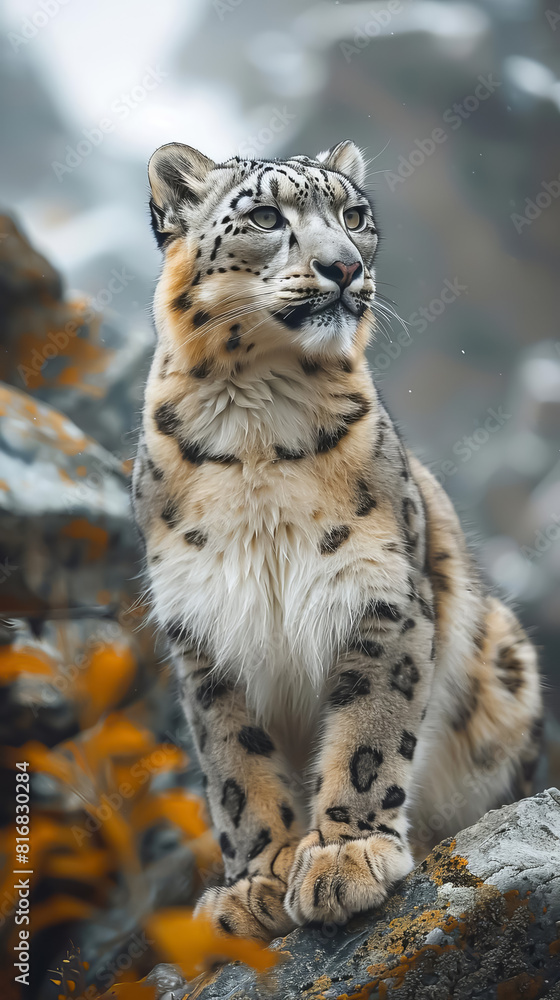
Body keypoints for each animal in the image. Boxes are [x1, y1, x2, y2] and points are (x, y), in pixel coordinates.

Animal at [132, 138, 543, 941]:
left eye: (353, 216)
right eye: (265, 216)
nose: (345, 267)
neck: (256, 419)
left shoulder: (377, 592)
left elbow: (369, 732)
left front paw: (344, 857)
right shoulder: (202, 627)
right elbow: (236, 766)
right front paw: (253, 884)